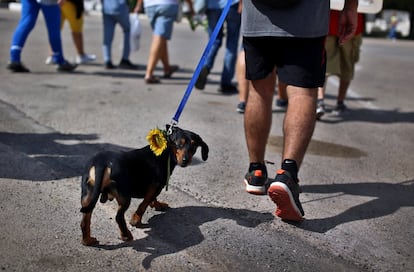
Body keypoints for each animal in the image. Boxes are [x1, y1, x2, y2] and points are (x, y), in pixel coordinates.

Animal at [79, 126, 209, 246]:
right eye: (178, 144)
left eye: (194, 146)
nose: (186, 160)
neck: (165, 153)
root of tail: (102, 163)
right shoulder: (156, 186)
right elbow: (144, 204)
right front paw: (136, 220)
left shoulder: (154, 187)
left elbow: (152, 199)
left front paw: (157, 205)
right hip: (124, 197)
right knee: (119, 217)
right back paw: (126, 236)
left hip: (88, 195)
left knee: (85, 219)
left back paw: (87, 240)